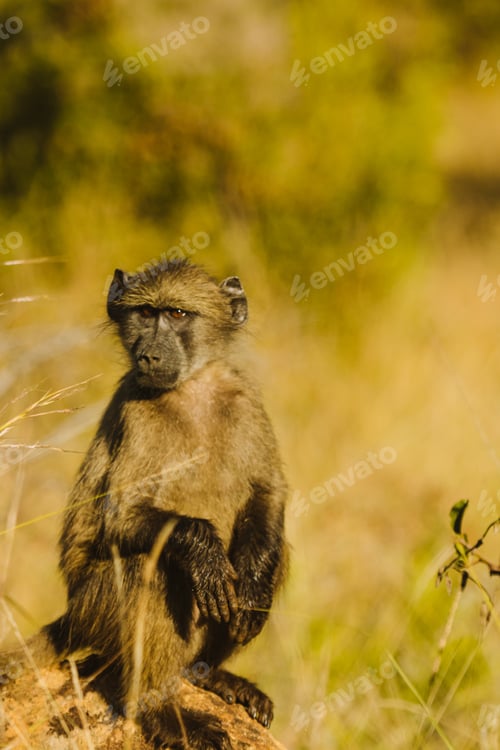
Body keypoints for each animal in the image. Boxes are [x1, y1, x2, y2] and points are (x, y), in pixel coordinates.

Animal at [0, 259, 288, 749]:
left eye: (177, 313)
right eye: (145, 314)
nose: (150, 356)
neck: (191, 387)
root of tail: (70, 618)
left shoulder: (244, 397)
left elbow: (268, 492)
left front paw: (252, 590)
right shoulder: (136, 413)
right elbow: (118, 516)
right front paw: (205, 554)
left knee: (271, 556)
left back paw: (210, 674)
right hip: (94, 609)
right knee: (149, 573)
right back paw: (161, 712)